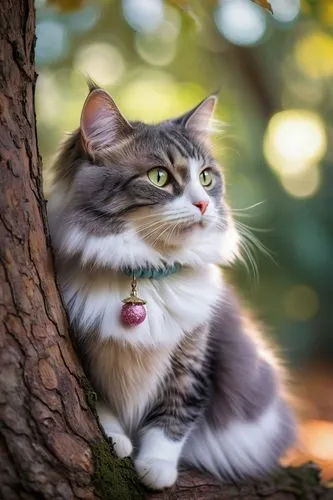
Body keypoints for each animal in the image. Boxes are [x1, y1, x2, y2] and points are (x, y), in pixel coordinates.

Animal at [47, 83, 296, 492]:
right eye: (159, 177)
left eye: (207, 178)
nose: (203, 204)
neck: (148, 272)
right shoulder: (84, 353)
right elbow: (101, 403)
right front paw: (116, 440)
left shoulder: (194, 355)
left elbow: (173, 419)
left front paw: (156, 468)